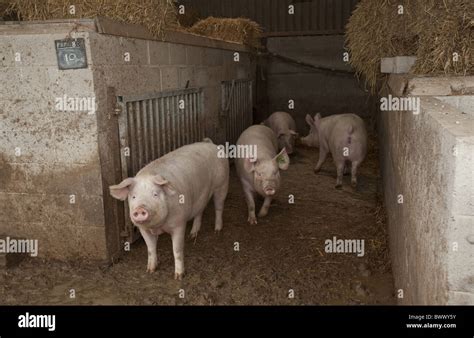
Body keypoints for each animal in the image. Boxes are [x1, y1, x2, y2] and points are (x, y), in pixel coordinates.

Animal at [111, 140, 230, 280]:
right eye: (134, 196)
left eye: (155, 194)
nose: (140, 208)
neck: (158, 226)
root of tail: (210, 143)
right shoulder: (143, 229)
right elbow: (150, 249)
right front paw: (150, 270)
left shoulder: (179, 224)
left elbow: (177, 250)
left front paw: (179, 276)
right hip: (200, 197)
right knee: (199, 212)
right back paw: (192, 234)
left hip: (222, 184)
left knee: (219, 207)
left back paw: (217, 230)